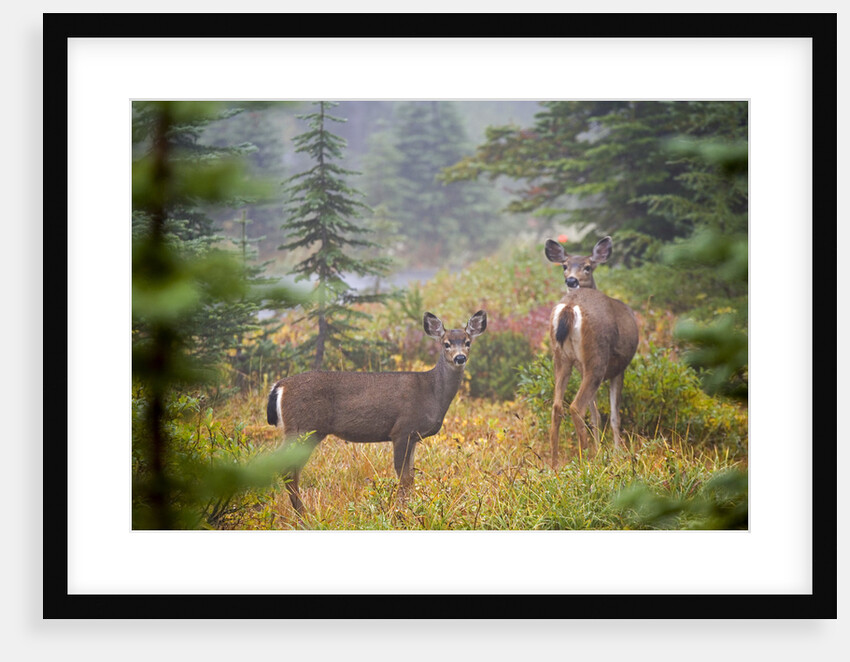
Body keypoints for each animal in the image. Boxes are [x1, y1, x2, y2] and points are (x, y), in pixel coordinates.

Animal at [266, 310, 487, 516]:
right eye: (446, 344)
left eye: (467, 342)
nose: (460, 357)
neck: (433, 392)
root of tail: (280, 386)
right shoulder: (402, 430)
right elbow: (403, 477)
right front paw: (401, 512)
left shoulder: (414, 436)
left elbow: (410, 476)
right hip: (303, 428)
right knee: (285, 468)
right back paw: (303, 515)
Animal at [544, 236, 638, 465]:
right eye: (564, 266)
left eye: (587, 267)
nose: (571, 280)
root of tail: (570, 307)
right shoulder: (618, 368)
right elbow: (613, 415)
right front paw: (616, 452)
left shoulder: (582, 368)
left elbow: (596, 415)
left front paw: (601, 447)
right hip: (598, 357)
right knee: (576, 407)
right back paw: (586, 459)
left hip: (562, 358)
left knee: (557, 406)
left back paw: (554, 464)